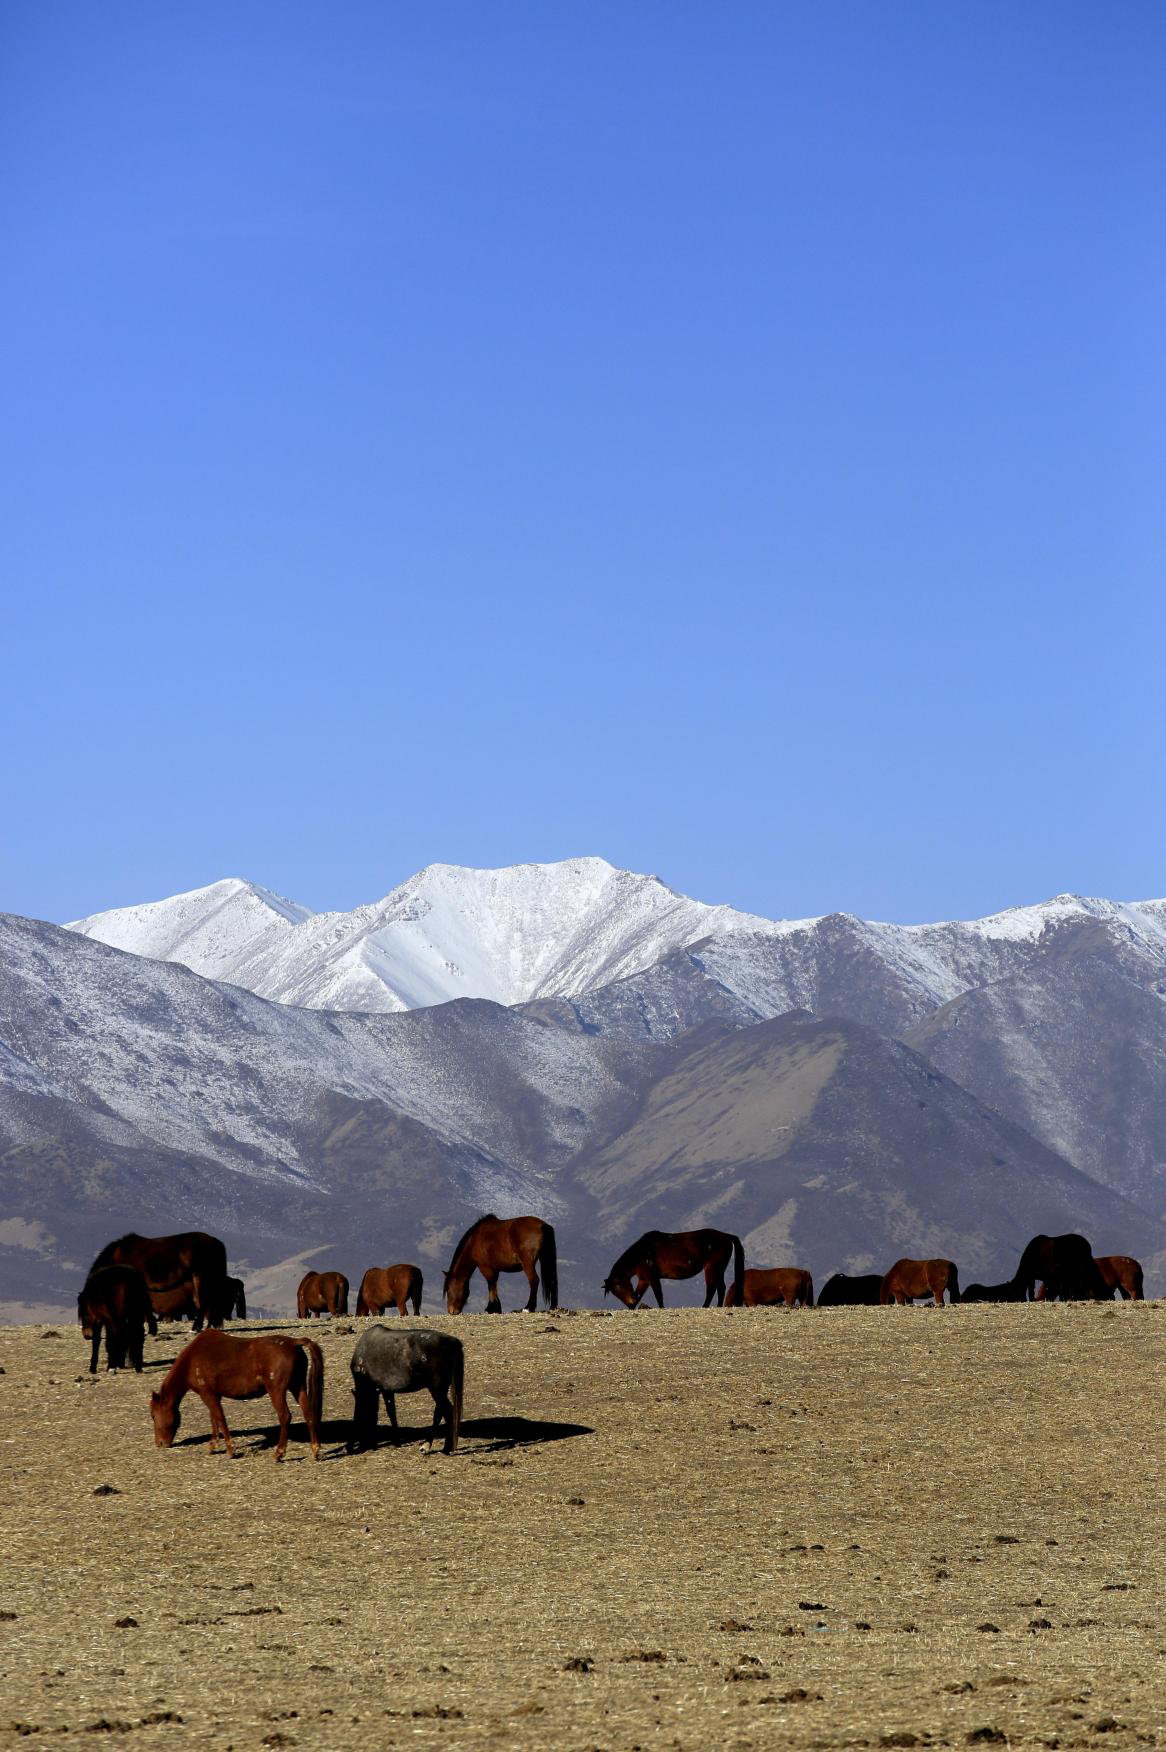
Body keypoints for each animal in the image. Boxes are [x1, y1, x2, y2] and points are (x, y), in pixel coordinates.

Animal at [150, 1331, 322, 1457]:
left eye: (153, 1415)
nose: (159, 1443)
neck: (192, 1361)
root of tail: (293, 1342)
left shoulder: (207, 1394)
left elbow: (220, 1418)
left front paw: (230, 1450)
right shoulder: (214, 1395)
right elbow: (214, 1419)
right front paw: (213, 1445)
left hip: (276, 1390)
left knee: (285, 1416)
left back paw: (279, 1453)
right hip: (298, 1386)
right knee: (308, 1413)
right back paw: (314, 1450)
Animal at [602, 1226, 738, 1310]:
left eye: (618, 1287)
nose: (630, 1302)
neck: (641, 1253)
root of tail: (726, 1236)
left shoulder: (652, 1277)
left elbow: (658, 1294)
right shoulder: (644, 1279)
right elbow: (638, 1294)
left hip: (711, 1268)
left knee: (711, 1288)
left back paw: (705, 1306)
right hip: (719, 1270)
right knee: (721, 1288)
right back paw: (719, 1306)